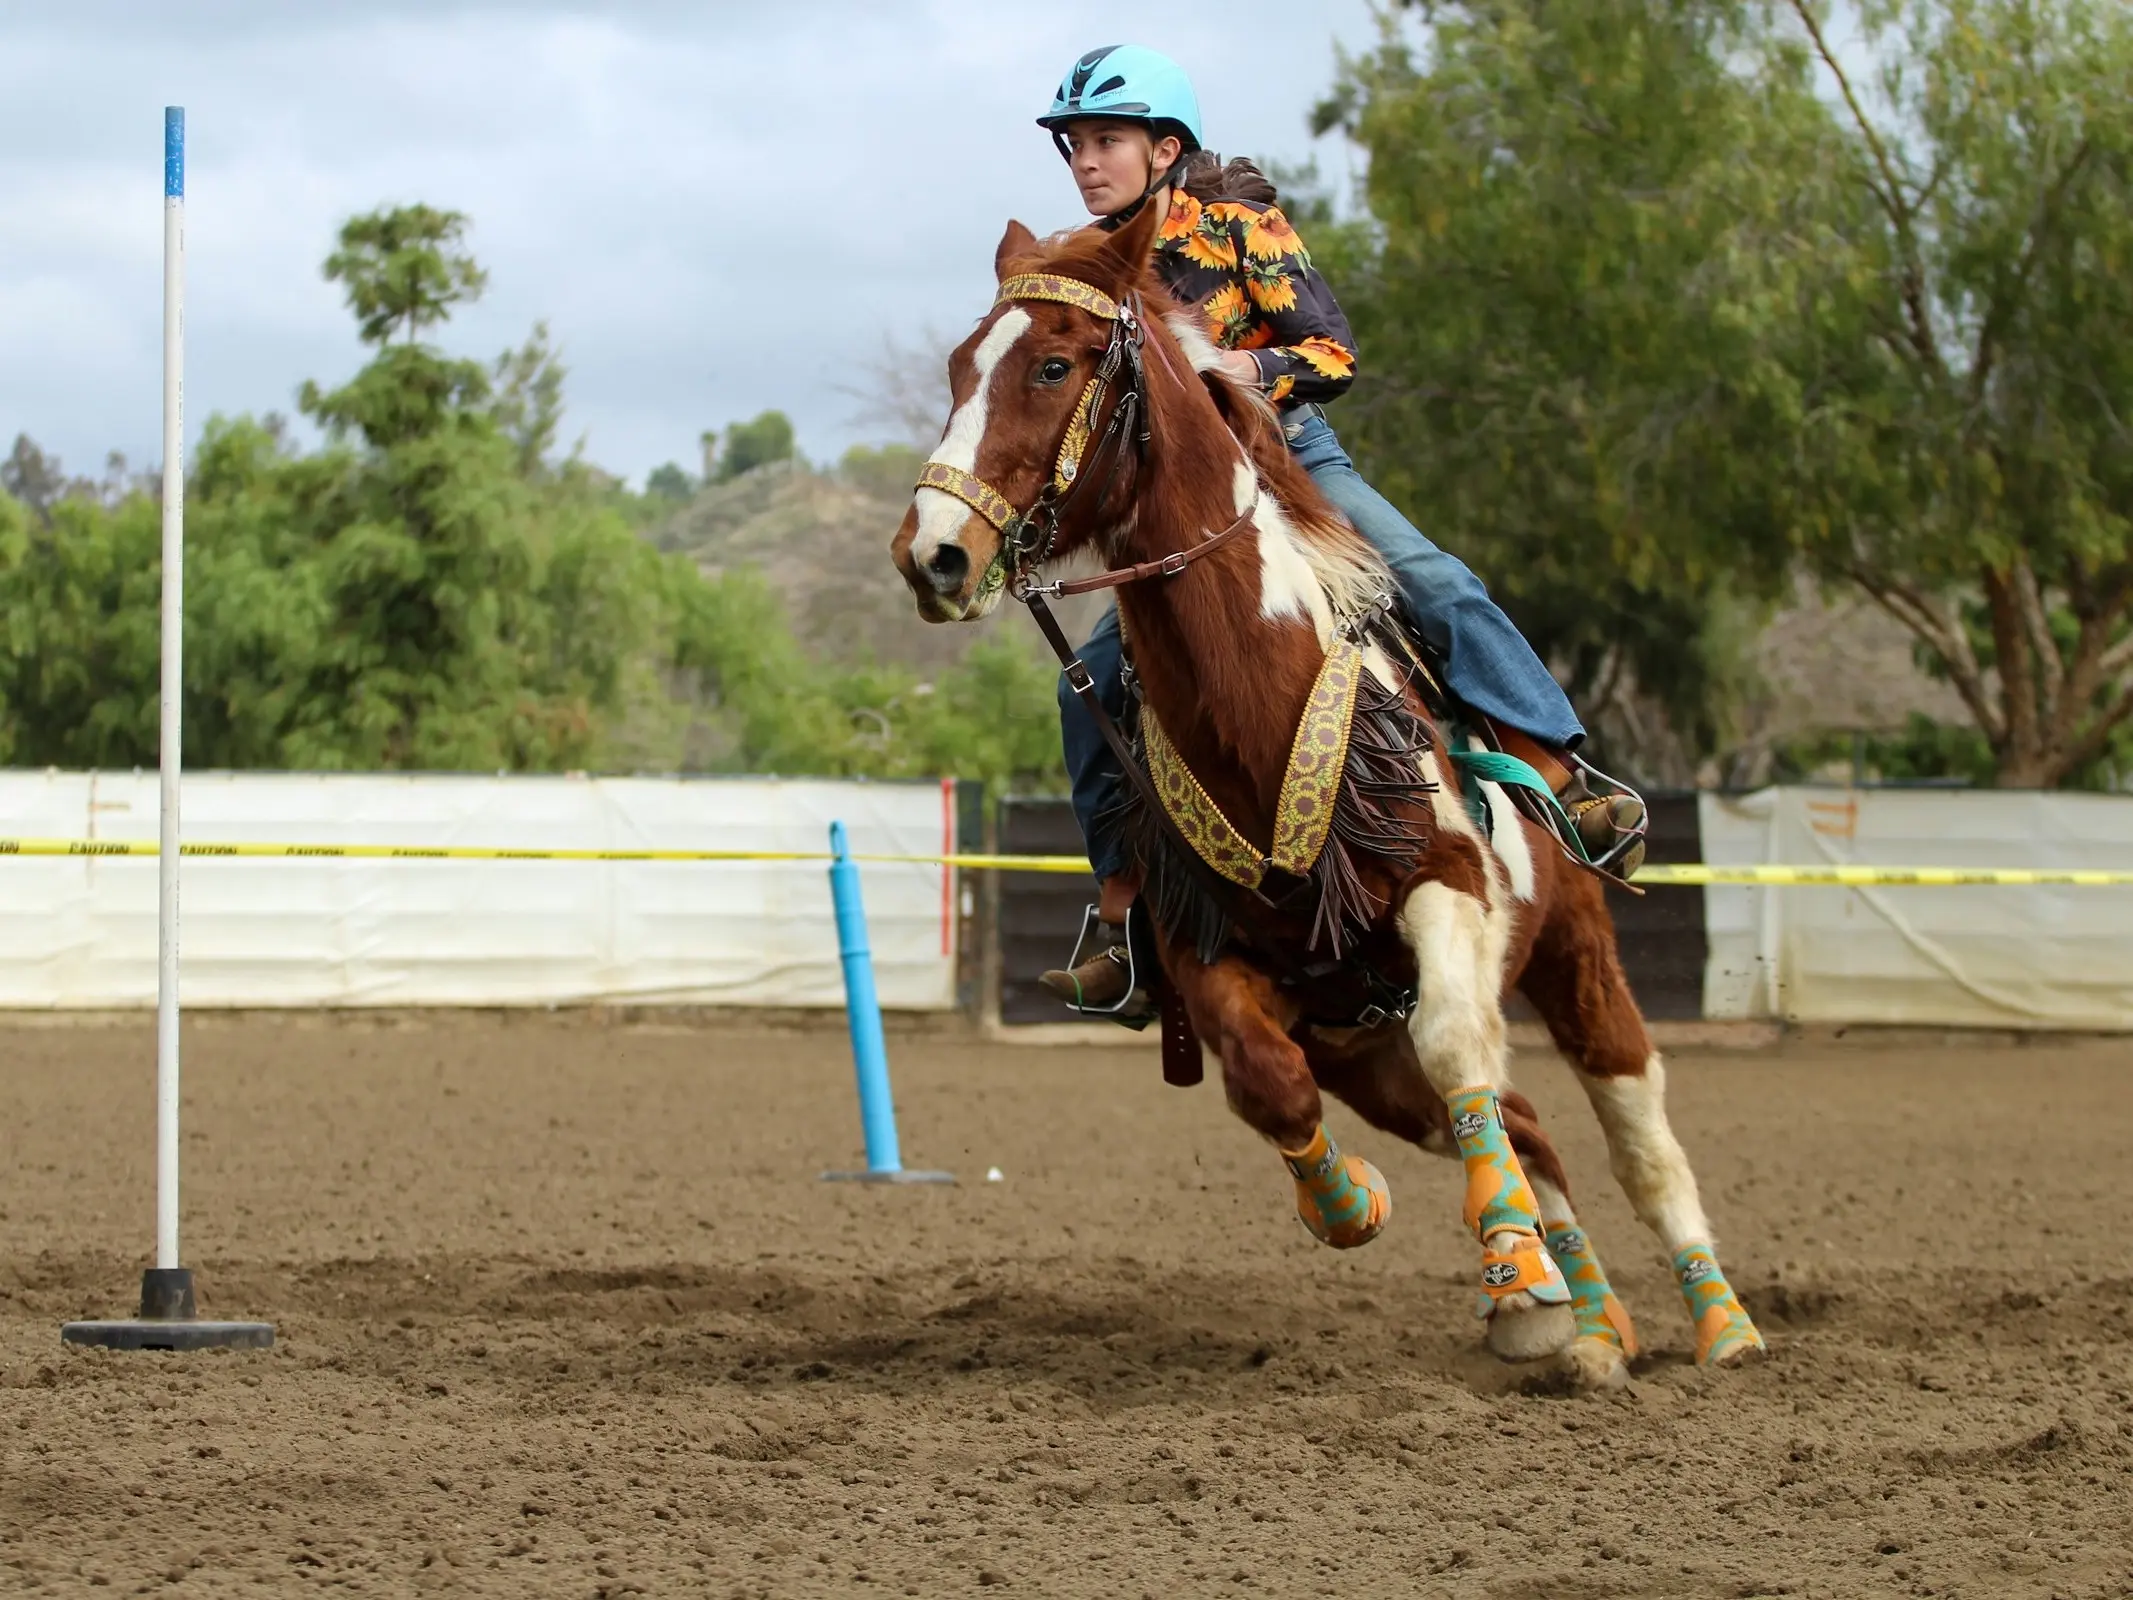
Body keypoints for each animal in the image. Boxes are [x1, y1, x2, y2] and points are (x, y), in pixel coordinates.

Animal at [887, 203, 1766, 1390]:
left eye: (1053, 365)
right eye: (957, 366)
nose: (931, 551)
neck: (1257, 704)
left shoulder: (1447, 891)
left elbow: (1458, 1045)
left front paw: (1514, 1266)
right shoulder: (1206, 953)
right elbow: (1268, 1086)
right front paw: (1369, 1213)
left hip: (1577, 959)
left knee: (1635, 1135)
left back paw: (1715, 1322)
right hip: (1363, 1047)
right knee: (1521, 1119)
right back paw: (1582, 1325)